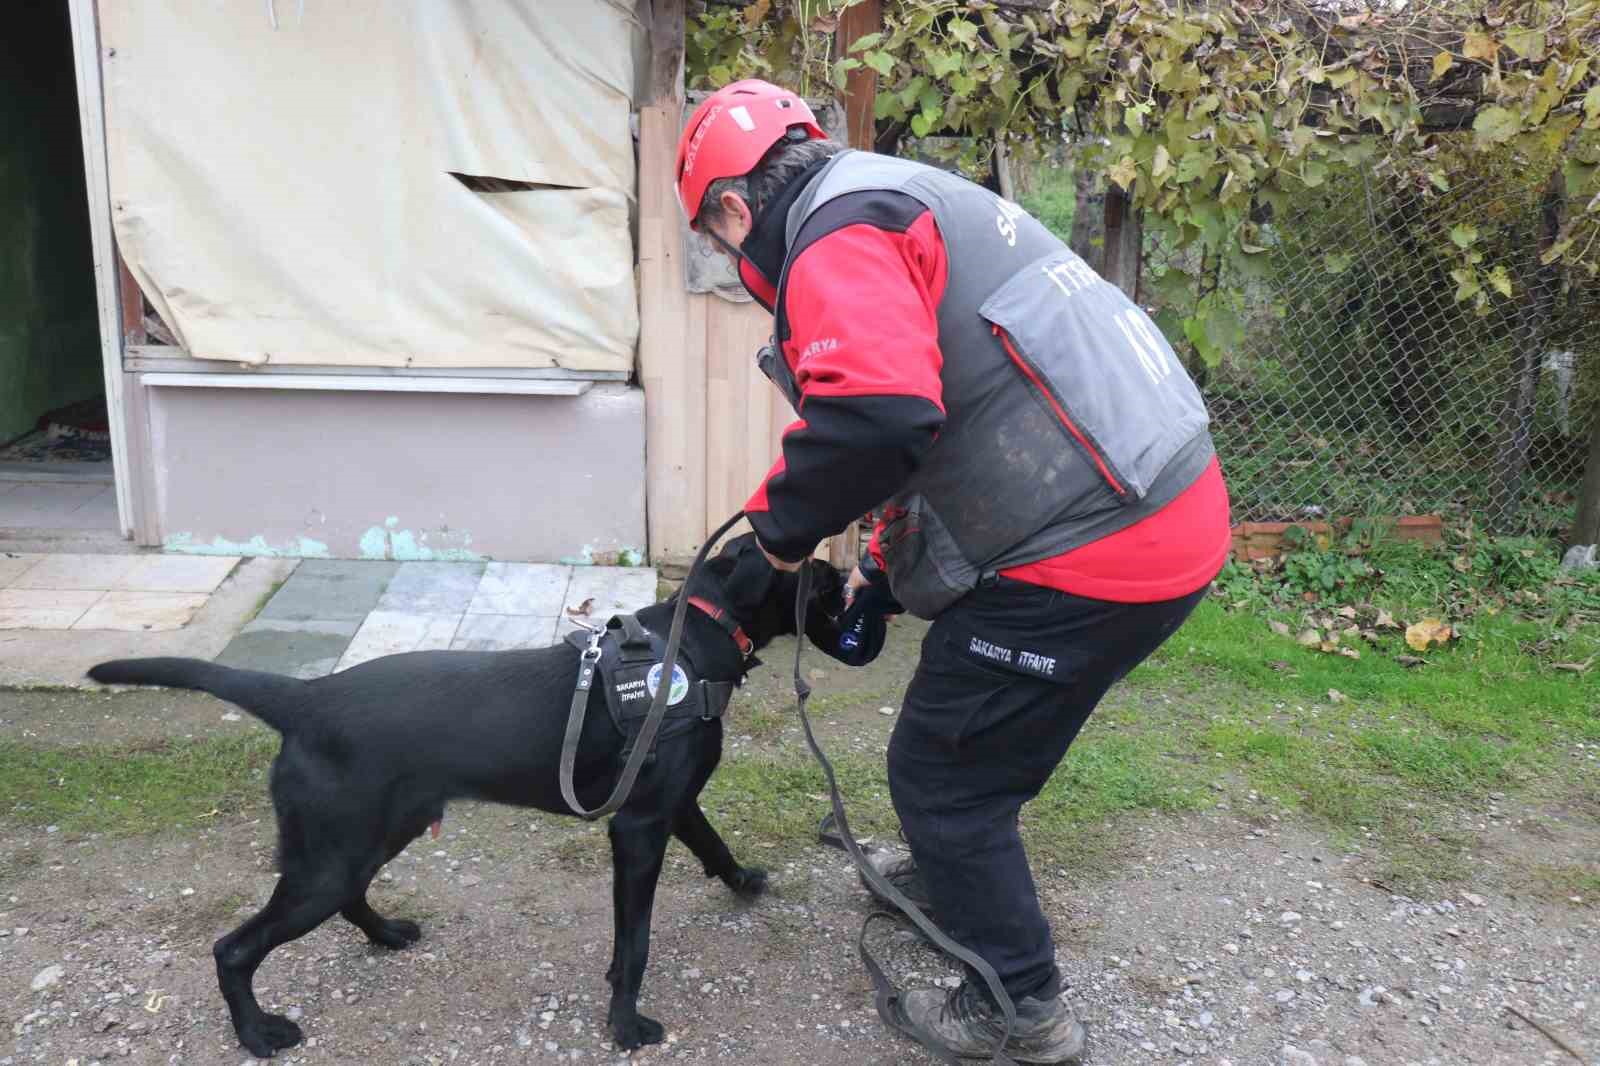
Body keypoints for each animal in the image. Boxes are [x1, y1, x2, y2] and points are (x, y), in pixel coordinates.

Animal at [87, 534, 844, 1056]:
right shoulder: (639, 826)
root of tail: (308, 699)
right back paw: (256, 1034)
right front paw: (625, 1022)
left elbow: (715, 847)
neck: (697, 635)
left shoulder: (672, 806)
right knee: (234, 949)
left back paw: (388, 934)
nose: (854, 586)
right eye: (824, 579)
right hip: (331, 856)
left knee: (348, 899)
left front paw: (744, 883)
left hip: (367, 837)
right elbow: (636, 940)